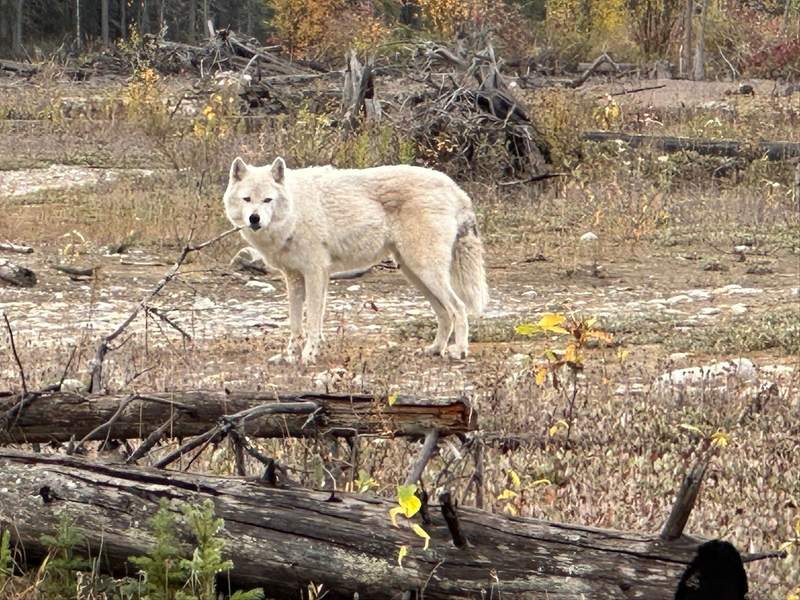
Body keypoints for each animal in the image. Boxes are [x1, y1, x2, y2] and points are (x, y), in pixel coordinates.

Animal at [223, 157, 489, 364]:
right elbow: (296, 324)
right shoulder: (295, 277)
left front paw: (308, 355)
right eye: (247, 199)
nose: (254, 219)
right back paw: (435, 349)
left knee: (458, 308)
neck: (296, 211)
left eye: (267, 200)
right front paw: (290, 356)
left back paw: (459, 351)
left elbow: (312, 322)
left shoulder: (315, 273)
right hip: (414, 274)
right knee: (444, 313)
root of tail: (455, 187)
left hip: (426, 271)